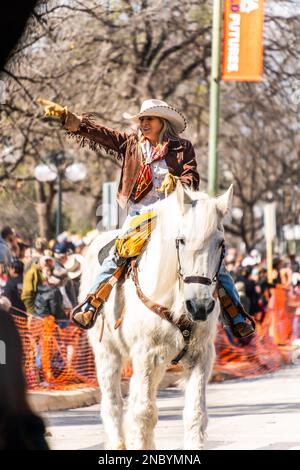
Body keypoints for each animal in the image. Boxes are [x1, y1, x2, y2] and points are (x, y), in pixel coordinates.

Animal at [79, 182, 232, 450]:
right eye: (181, 240)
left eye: (220, 243)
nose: (200, 306)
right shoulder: (146, 355)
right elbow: (144, 412)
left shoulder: (200, 355)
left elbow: (195, 413)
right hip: (107, 353)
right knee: (114, 403)